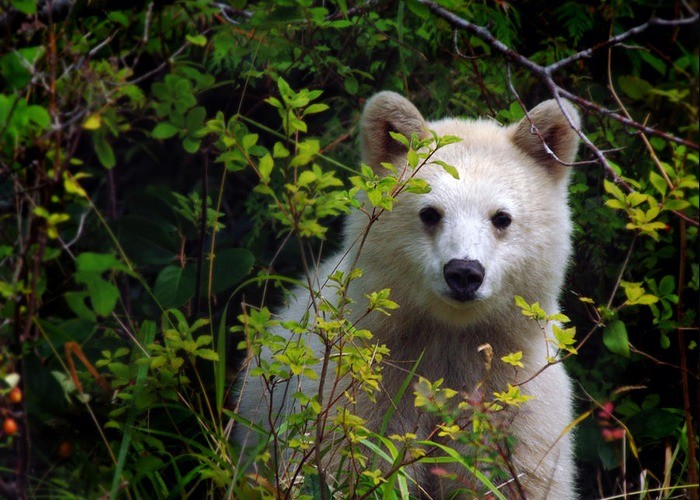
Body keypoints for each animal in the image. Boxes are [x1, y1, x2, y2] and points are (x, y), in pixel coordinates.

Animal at [235, 92, 580, 498]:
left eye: (501, 217)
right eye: (430, 213)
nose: (464, 272)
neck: (449, 335)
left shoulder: (515, 400)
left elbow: (513, 477)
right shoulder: (364, 386)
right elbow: (350, 462)